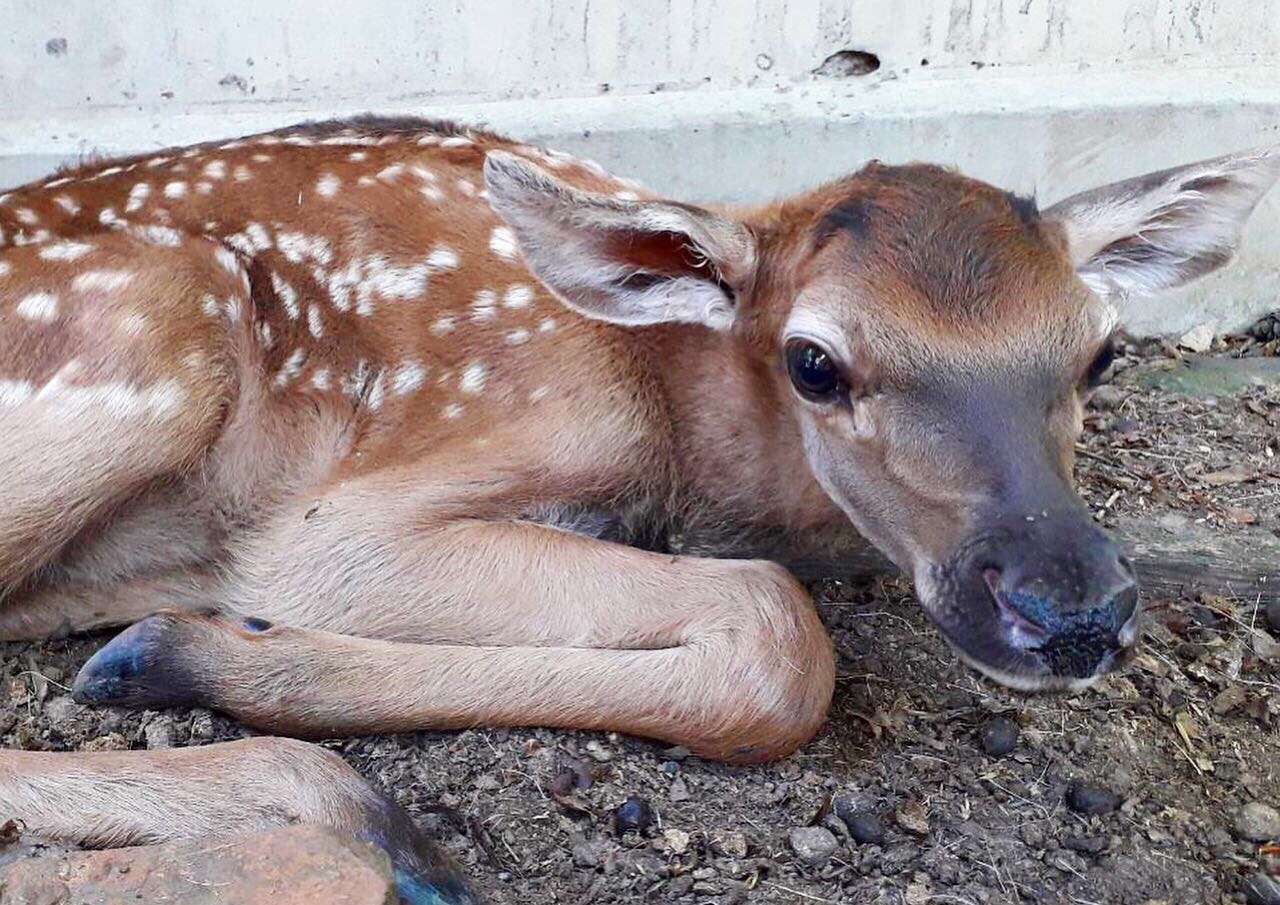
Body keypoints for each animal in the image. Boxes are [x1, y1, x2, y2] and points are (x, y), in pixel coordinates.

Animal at [2, 117, 1280, 901]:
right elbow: (776, 629)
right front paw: (210, 648)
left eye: (1099, 353)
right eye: (815, 363)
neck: (683, 417)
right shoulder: (349, 514)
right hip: (162, 331)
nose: (1068, 606)